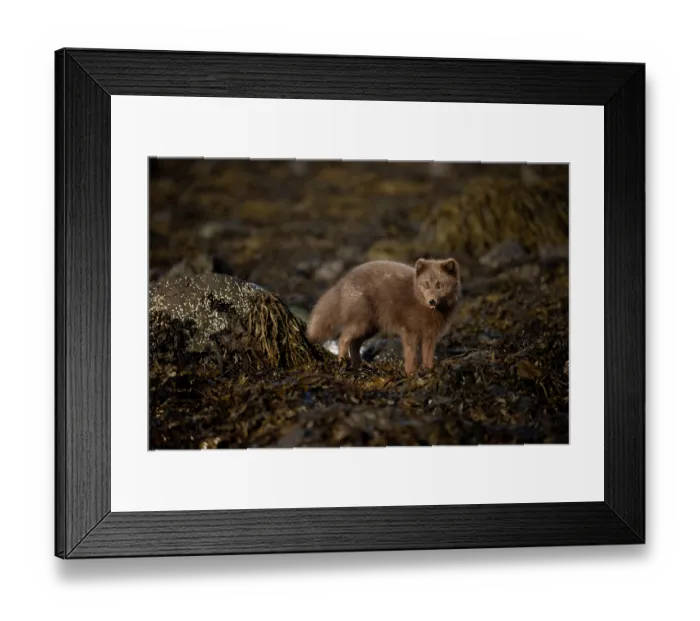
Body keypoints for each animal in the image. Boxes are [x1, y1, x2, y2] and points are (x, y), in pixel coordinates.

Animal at [306, 258, 461, 375]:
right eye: (426, 284)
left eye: (440, 285)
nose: (432, 301)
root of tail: (342, 281)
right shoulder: (409, 332)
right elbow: (411, 355)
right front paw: (411, 373)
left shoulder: (430, 335)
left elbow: (428, 356)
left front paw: (429, 370)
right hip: (362, 323)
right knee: (343, 338)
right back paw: (343, 361)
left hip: (370, 328)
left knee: (354, 344)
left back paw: (361, 366)